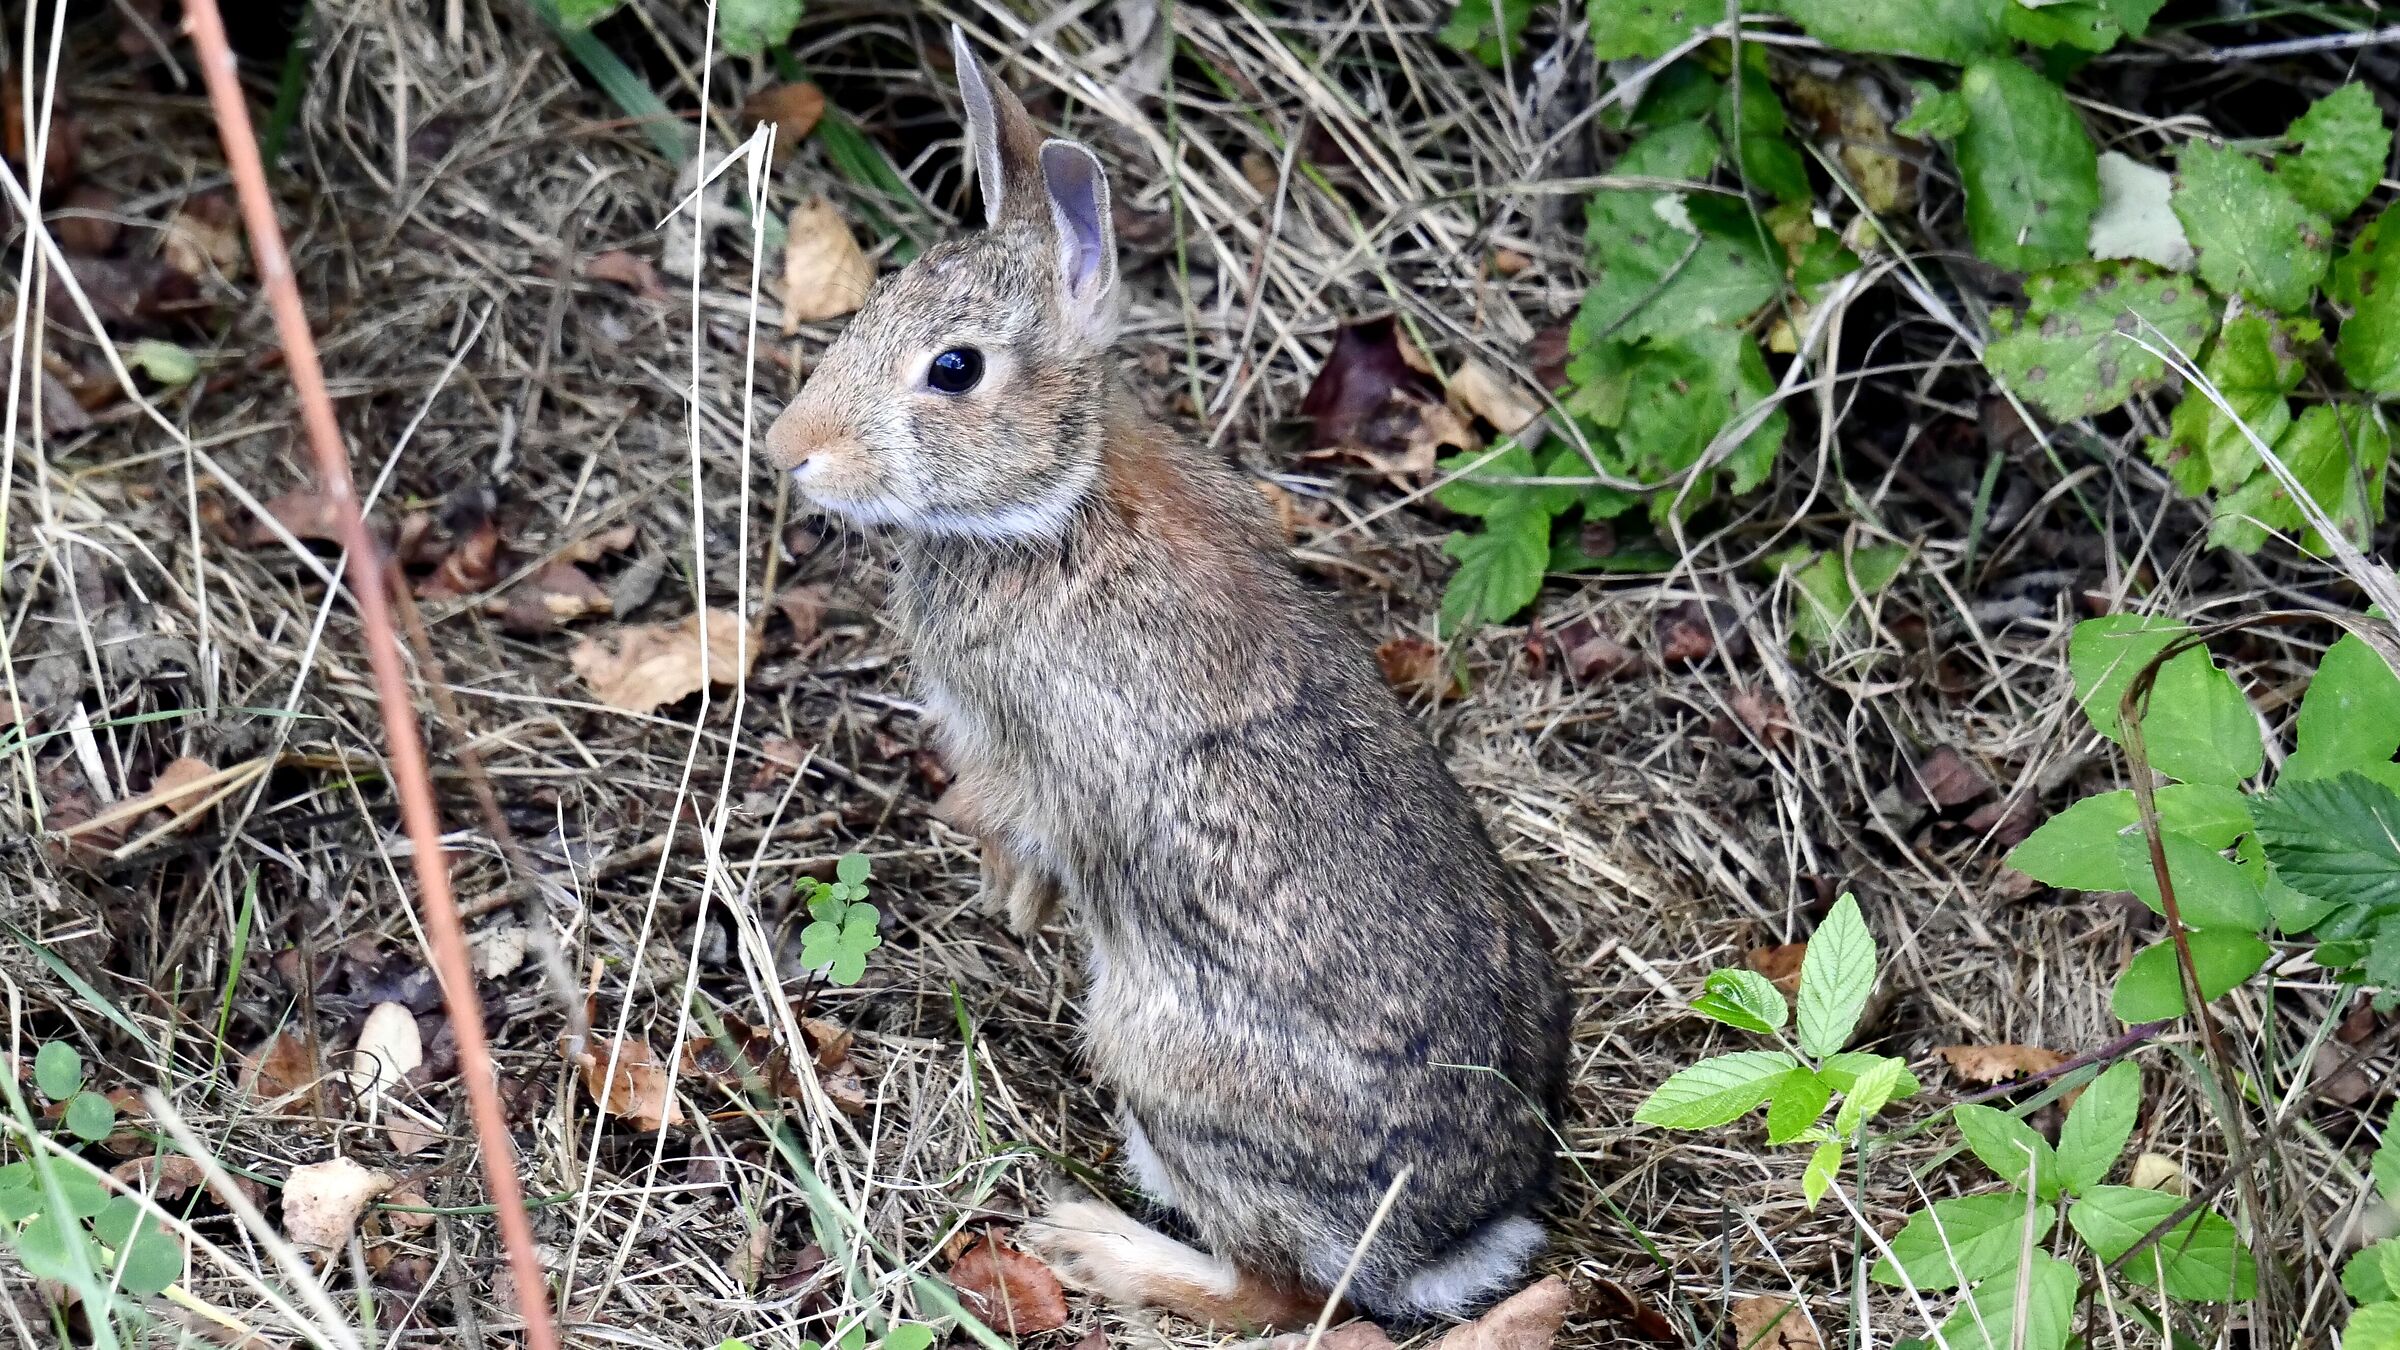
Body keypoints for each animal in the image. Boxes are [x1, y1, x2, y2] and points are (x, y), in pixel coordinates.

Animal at [761, 26, 1571, 1329]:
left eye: (954, 368)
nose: (790, 452)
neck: (1057, 501)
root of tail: (1453, 1237)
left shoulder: (1019, 744)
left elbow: (1010, 816)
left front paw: (1010, 895)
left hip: (1161, 1062)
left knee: (1275, 1294)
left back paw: (1094, 1243)